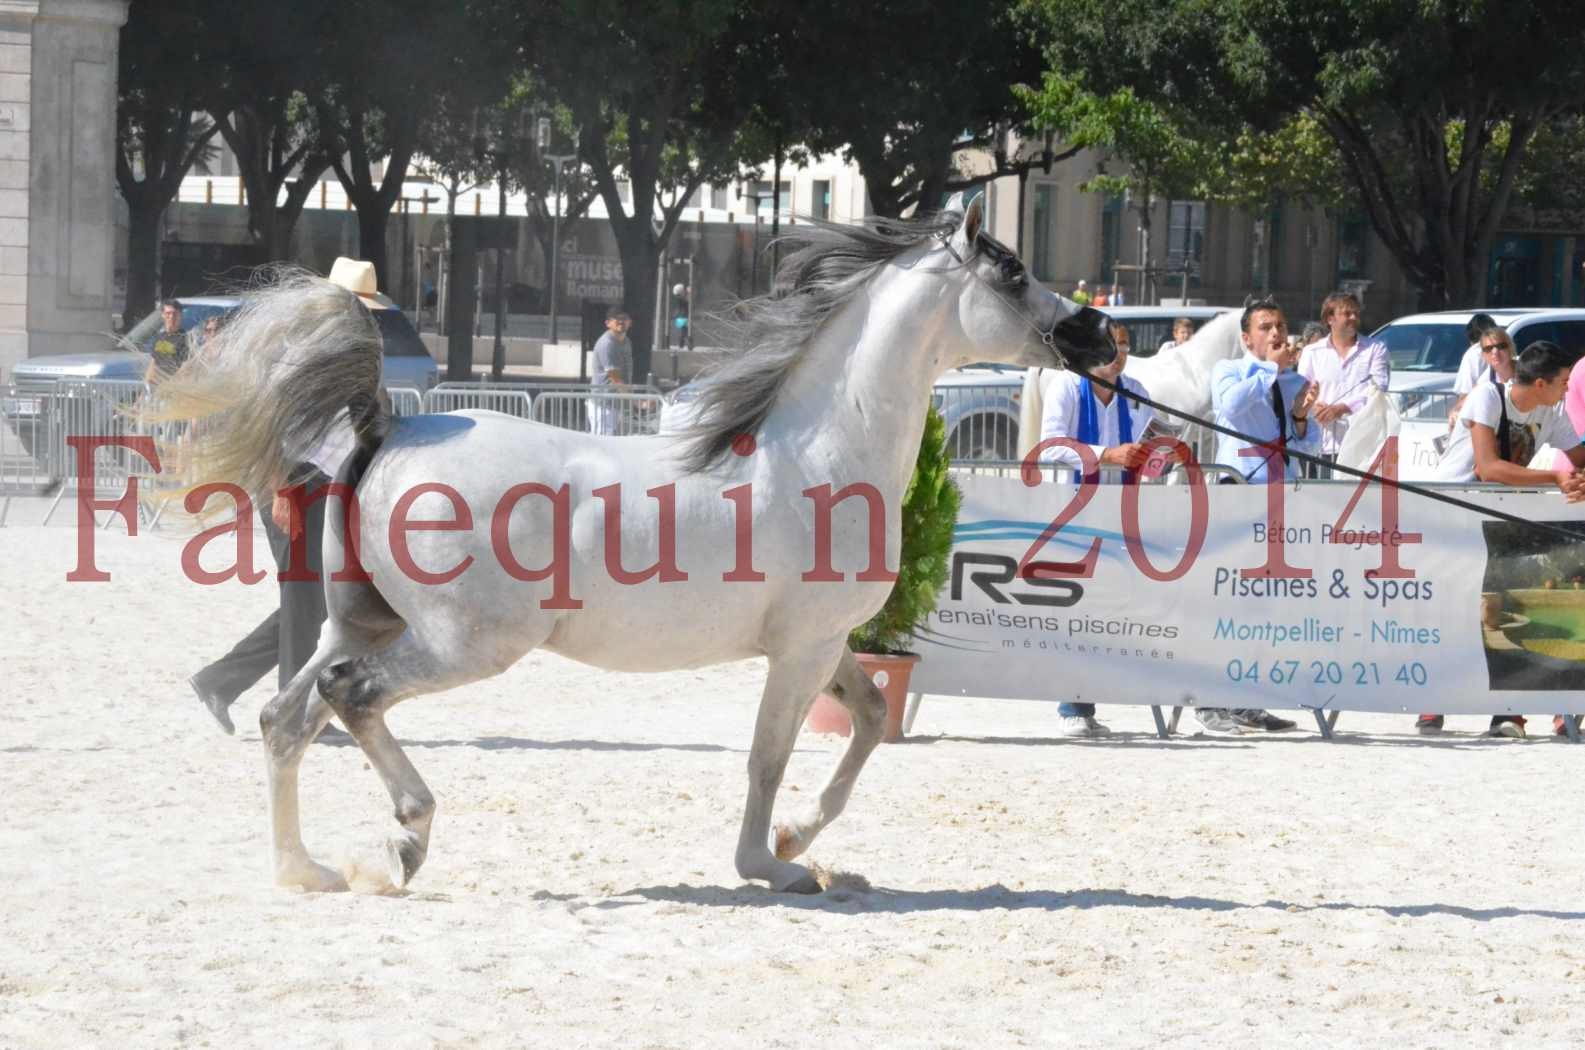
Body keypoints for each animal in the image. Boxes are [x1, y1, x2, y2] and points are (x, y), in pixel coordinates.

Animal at [148, 197, 1115, 894]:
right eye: (1013, 271)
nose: (1100, 336)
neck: (819, 452)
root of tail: (388, 426)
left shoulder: (824, 643)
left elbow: (872, 721)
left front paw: (798, 840)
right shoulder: (800, 651)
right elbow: (769, 756)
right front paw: (769, 864)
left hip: (363, 622)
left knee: (286, 717)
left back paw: (305, 870)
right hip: (467, 644)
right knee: (352, 699)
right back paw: (406, 840)